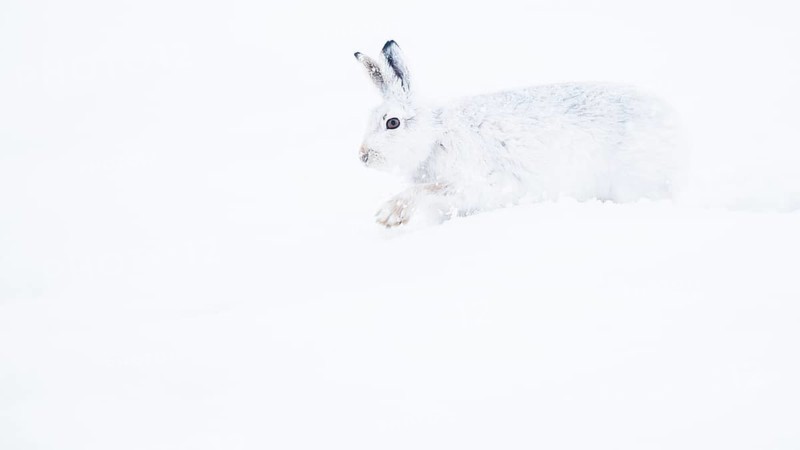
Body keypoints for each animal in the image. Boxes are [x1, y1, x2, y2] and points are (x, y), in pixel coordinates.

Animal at [355, 40, 682, 228]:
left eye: (392, 123)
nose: (363, 156)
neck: (435, 134)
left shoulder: (477, 183)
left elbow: (428, 190)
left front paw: (389, 215)